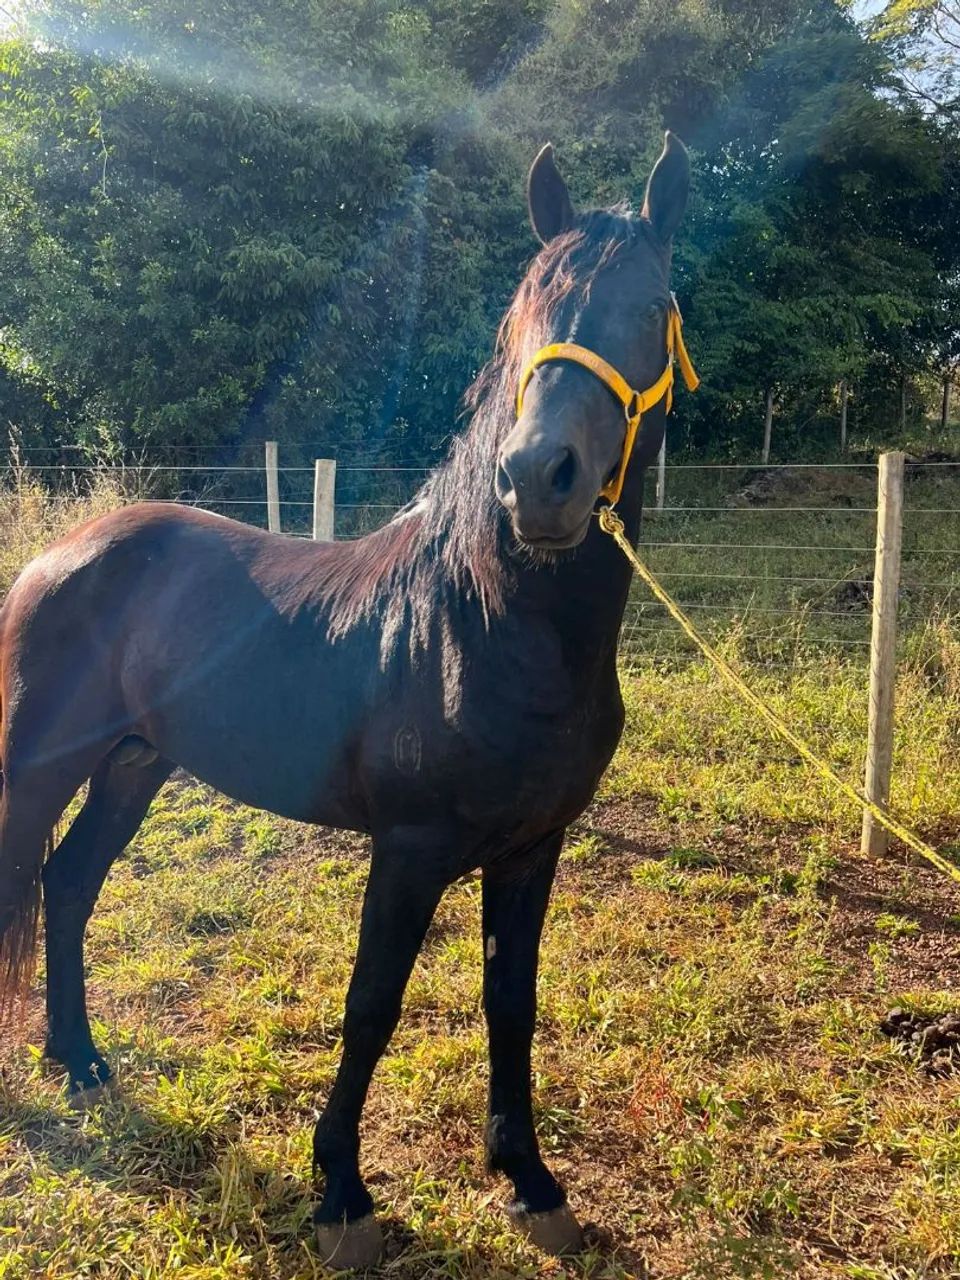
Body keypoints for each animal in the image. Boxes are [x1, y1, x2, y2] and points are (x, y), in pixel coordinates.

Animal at [0, 132, 692, 1267]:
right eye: (521, 317)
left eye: (653, 305)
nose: (535, 479)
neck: (485, 625)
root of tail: (64, 550)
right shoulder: (407, 848)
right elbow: (372, 1005)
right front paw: (342, 1196)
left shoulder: (531, 847)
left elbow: (512, 1000)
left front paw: (530, 1180)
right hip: (41, 765)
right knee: (37, 879)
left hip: (135, 765)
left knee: (69, 885)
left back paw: (81, 1060)